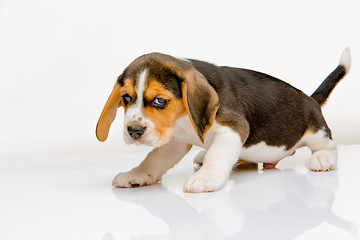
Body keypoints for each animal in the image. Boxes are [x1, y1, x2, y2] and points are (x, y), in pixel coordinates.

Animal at [97, 49, 350, 193]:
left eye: (160, 101)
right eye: (126, 98)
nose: (134, 131)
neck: (182, 119)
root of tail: (311, 99)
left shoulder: (234, 128)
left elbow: (218, 155)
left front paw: (206, 178)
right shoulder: (175, 141)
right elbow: (153, 160)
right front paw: (137, 175)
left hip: (316, 131)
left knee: (329, 144)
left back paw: (323, 158)